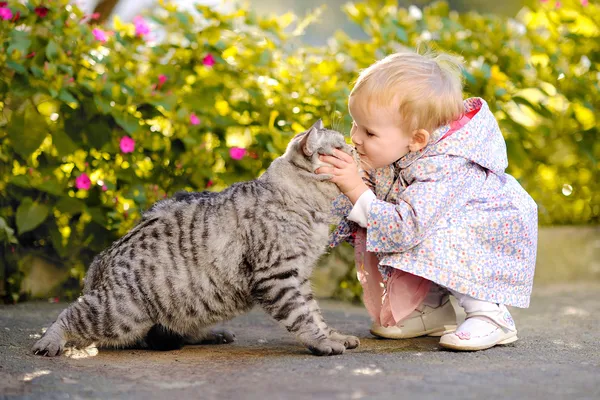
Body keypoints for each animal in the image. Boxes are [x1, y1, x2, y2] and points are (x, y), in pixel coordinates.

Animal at [32, 120, 358, 358]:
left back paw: (214, 334)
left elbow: (315, 313)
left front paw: (334, 335)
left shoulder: (299, 275)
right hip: (119, 314)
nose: (355, 148)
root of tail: (102, 259)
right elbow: (302, 316)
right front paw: (321, 342)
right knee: (70, 315)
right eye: (339, 147)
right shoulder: (278, 275)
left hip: (190, 305)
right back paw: (49, 342)